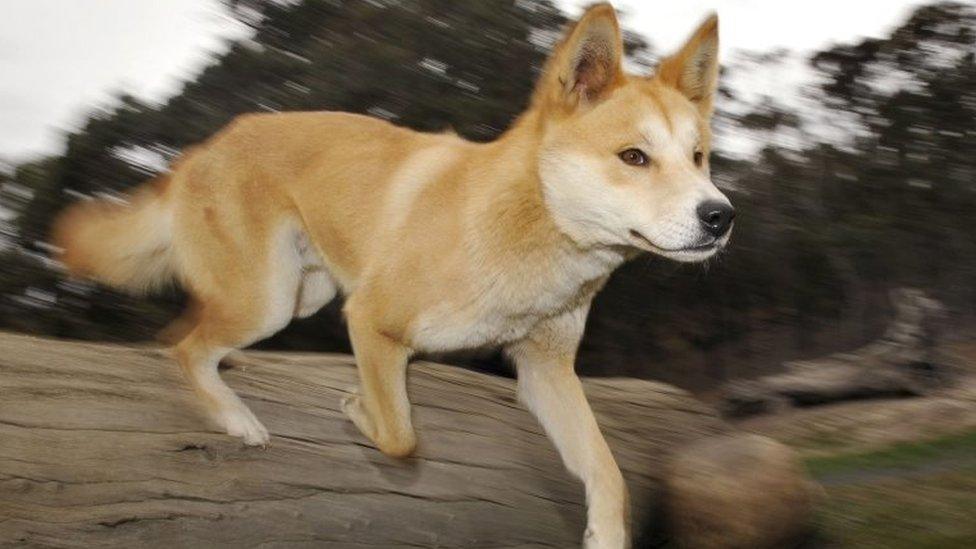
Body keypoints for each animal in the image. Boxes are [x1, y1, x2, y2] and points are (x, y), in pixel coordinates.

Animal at [49, 5, 728, 548]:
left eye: (698, 158)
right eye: (633, 157)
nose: (721, 216)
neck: (528, 235)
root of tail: (200, 150)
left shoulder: (545, 369)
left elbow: (610, 474)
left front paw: (604, 536)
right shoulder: (371, 321)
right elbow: (401, 435)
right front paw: (358, 407)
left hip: (301, 293)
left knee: (190, 333)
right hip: (270, 299)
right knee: (181, 346)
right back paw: (236, 419)